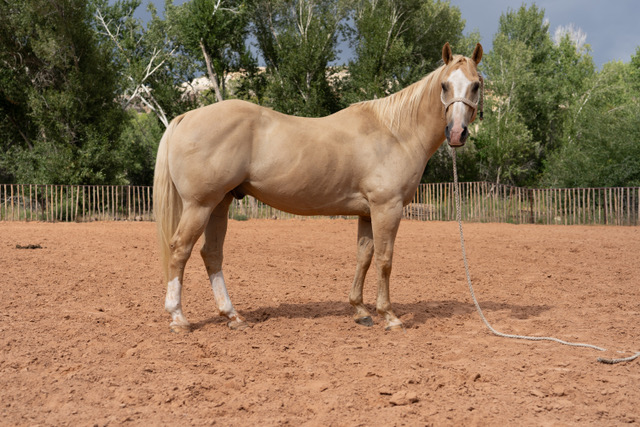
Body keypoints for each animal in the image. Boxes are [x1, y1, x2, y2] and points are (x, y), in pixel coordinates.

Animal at [153, 42, 483, 332]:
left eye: (476, 85)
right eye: (444, 85)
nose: (457, 133)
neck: (395, 132)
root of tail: (186, 117)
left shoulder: (367, 213)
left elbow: (364, 257)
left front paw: (360, 311)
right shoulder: (386, 208)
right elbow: (384, 260)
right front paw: (389, 316)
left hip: (219, 204)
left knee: (211, 254)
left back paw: (233, 316)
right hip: (200, 205)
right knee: (180, 250)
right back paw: (178, 318)